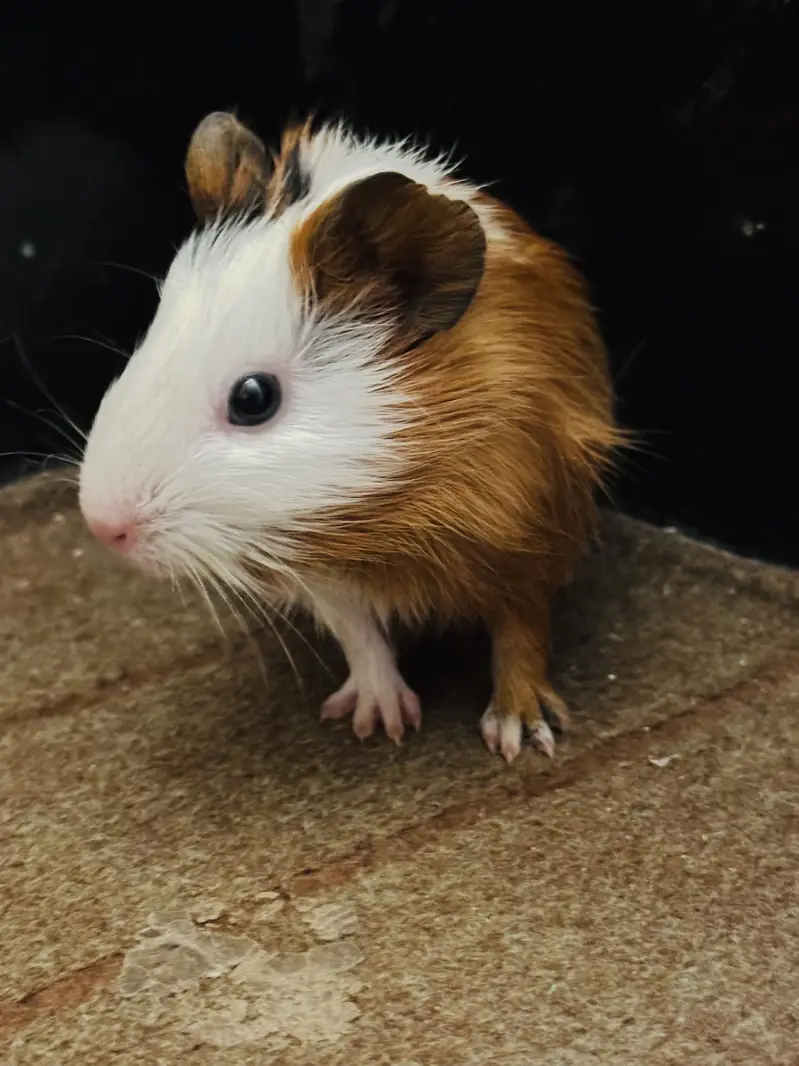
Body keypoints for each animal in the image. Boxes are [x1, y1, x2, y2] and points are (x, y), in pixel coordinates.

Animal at [78, 111, 622, 764]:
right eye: (152, 336)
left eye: (254, 398)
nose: (103, 525)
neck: (389, 523)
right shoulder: (325, 576)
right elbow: (360, 636)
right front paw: (378, 722)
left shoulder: (530, 533)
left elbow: (520, 634)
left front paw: (520, 737)